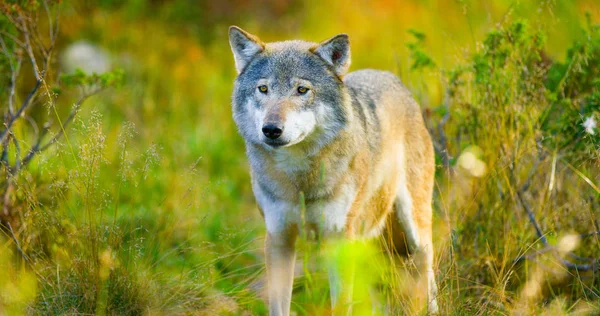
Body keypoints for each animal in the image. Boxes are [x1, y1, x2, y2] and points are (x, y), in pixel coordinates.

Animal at [227, 25, 438, 314]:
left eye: (302, 89)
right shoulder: (279, 238)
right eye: (263, 88)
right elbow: (279, 306)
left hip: (415, 229)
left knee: (428, 272)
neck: (300, 181)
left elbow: (340, 304)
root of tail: (392, 78)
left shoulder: (339, 241)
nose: (271, 129)